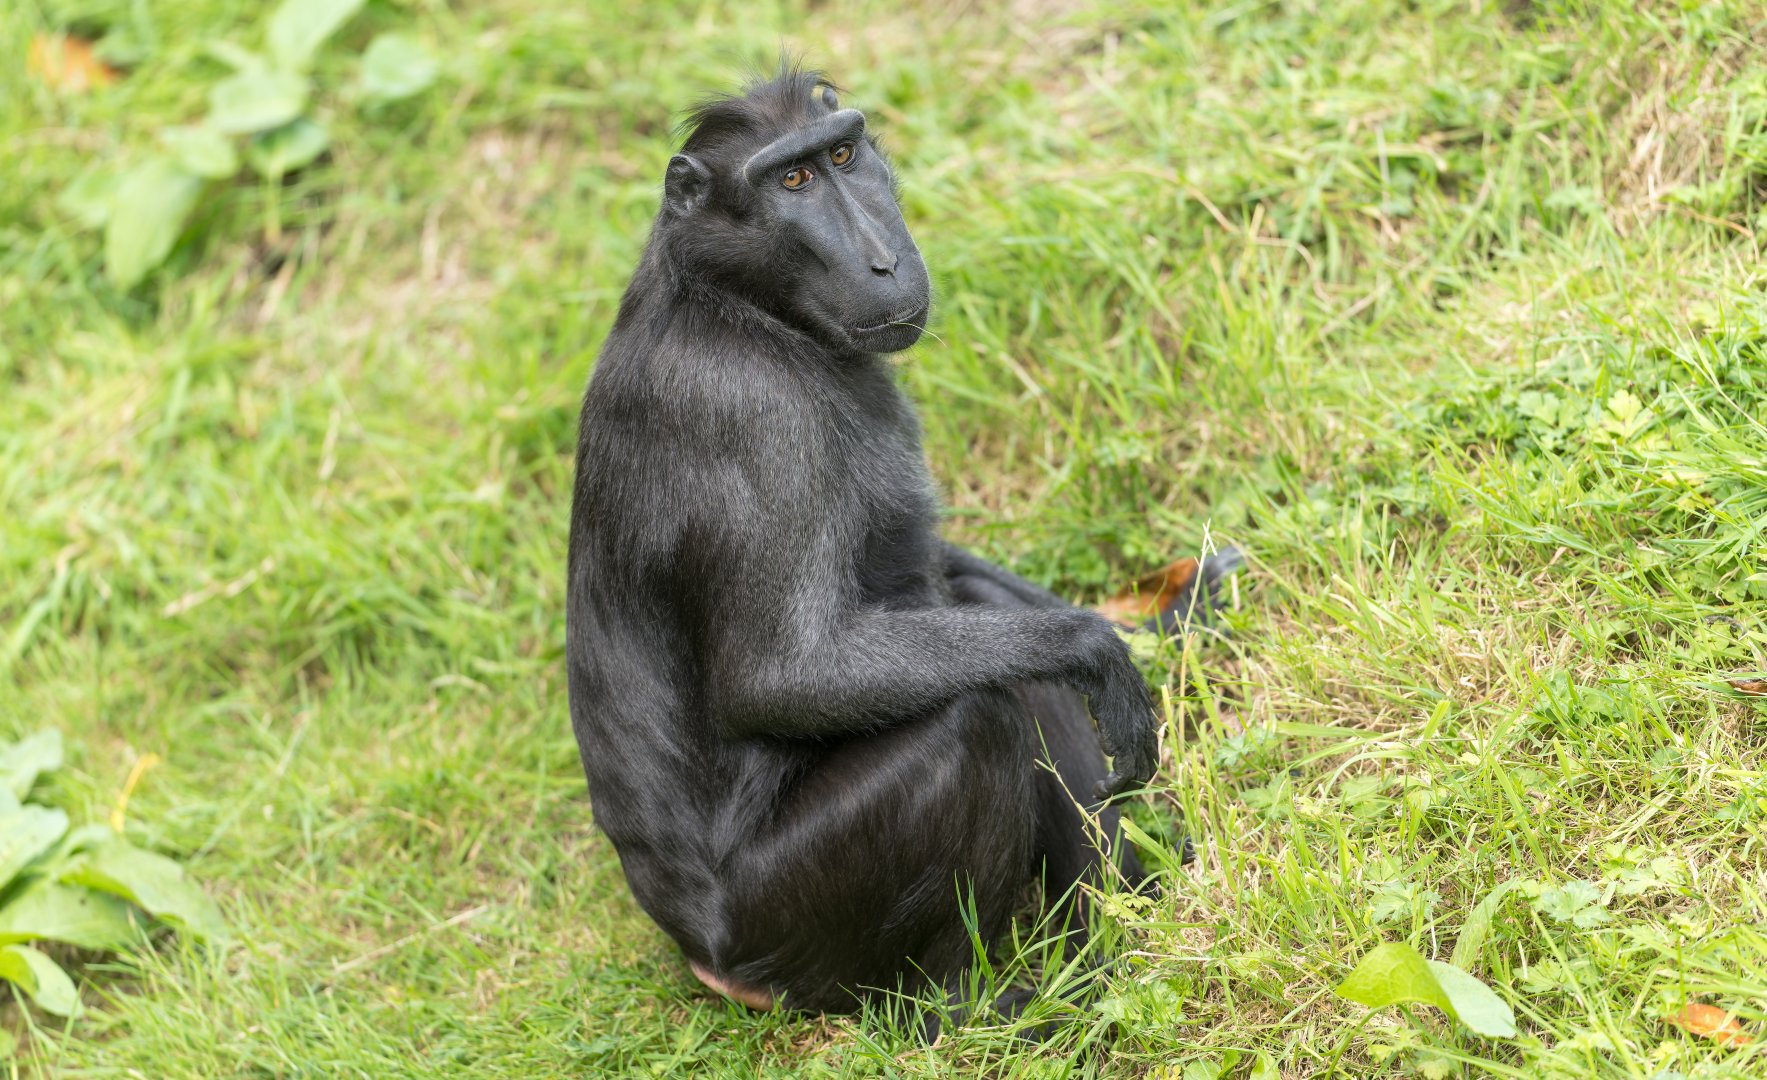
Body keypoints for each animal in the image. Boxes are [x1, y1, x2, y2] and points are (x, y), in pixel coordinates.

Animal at [565, 65, 1231, 1026]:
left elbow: (947, 575)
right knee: (975, 718)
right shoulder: (749, 417)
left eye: (842, 154)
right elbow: (781, 674)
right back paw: (972, 1007)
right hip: (789, 927)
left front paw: (1168, 626)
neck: (735, 302)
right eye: (792, 181)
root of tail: (707, 961)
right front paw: (1096, 644)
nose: (882, 258)